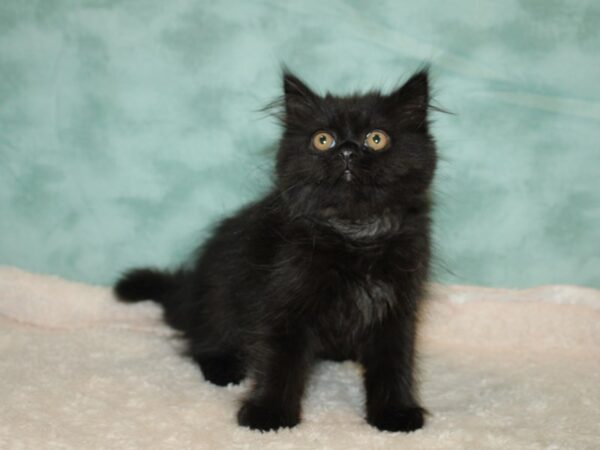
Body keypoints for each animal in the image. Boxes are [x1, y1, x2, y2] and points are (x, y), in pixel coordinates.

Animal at [116, 69, 436, 432]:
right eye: (322, 140)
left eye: (376, 138)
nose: (347, 151)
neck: (353, 233)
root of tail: (188, 289)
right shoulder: (283, 301)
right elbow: (279, 361)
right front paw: (268, 414)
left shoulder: (397, 306)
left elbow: (394, 362)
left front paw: (394, 414)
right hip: (219, 295)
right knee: (205, 339)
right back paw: (223, 369)